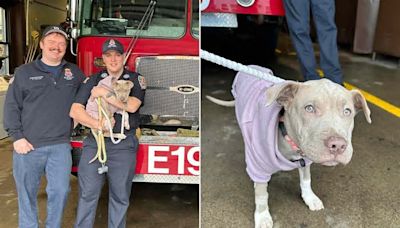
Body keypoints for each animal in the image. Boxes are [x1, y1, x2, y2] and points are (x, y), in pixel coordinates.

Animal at [206, 66, 372, 228]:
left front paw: (310, 198)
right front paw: (262, 217)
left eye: (347, 111)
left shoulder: (305, 160)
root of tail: (248, 67)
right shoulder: (258, 168)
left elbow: (306, 180)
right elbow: (261, 195)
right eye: (309, 108)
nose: (338, 145)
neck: (292, 143)